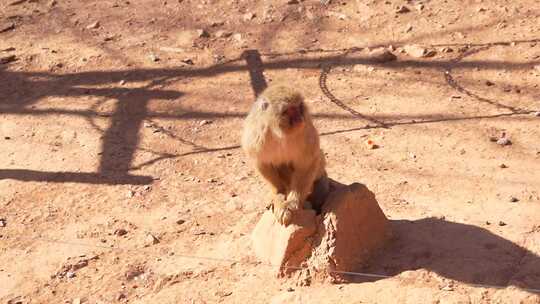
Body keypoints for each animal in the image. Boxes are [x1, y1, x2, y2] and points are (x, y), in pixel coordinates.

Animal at [242, 85, 330, 226]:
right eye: (290, 110)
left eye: (299, 107)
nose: (299, 118)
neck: (278, 133)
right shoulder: (256, 136)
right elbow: (262, 163)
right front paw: (279, 194)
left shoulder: (305, 131)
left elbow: (307, 163)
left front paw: (292, 202)